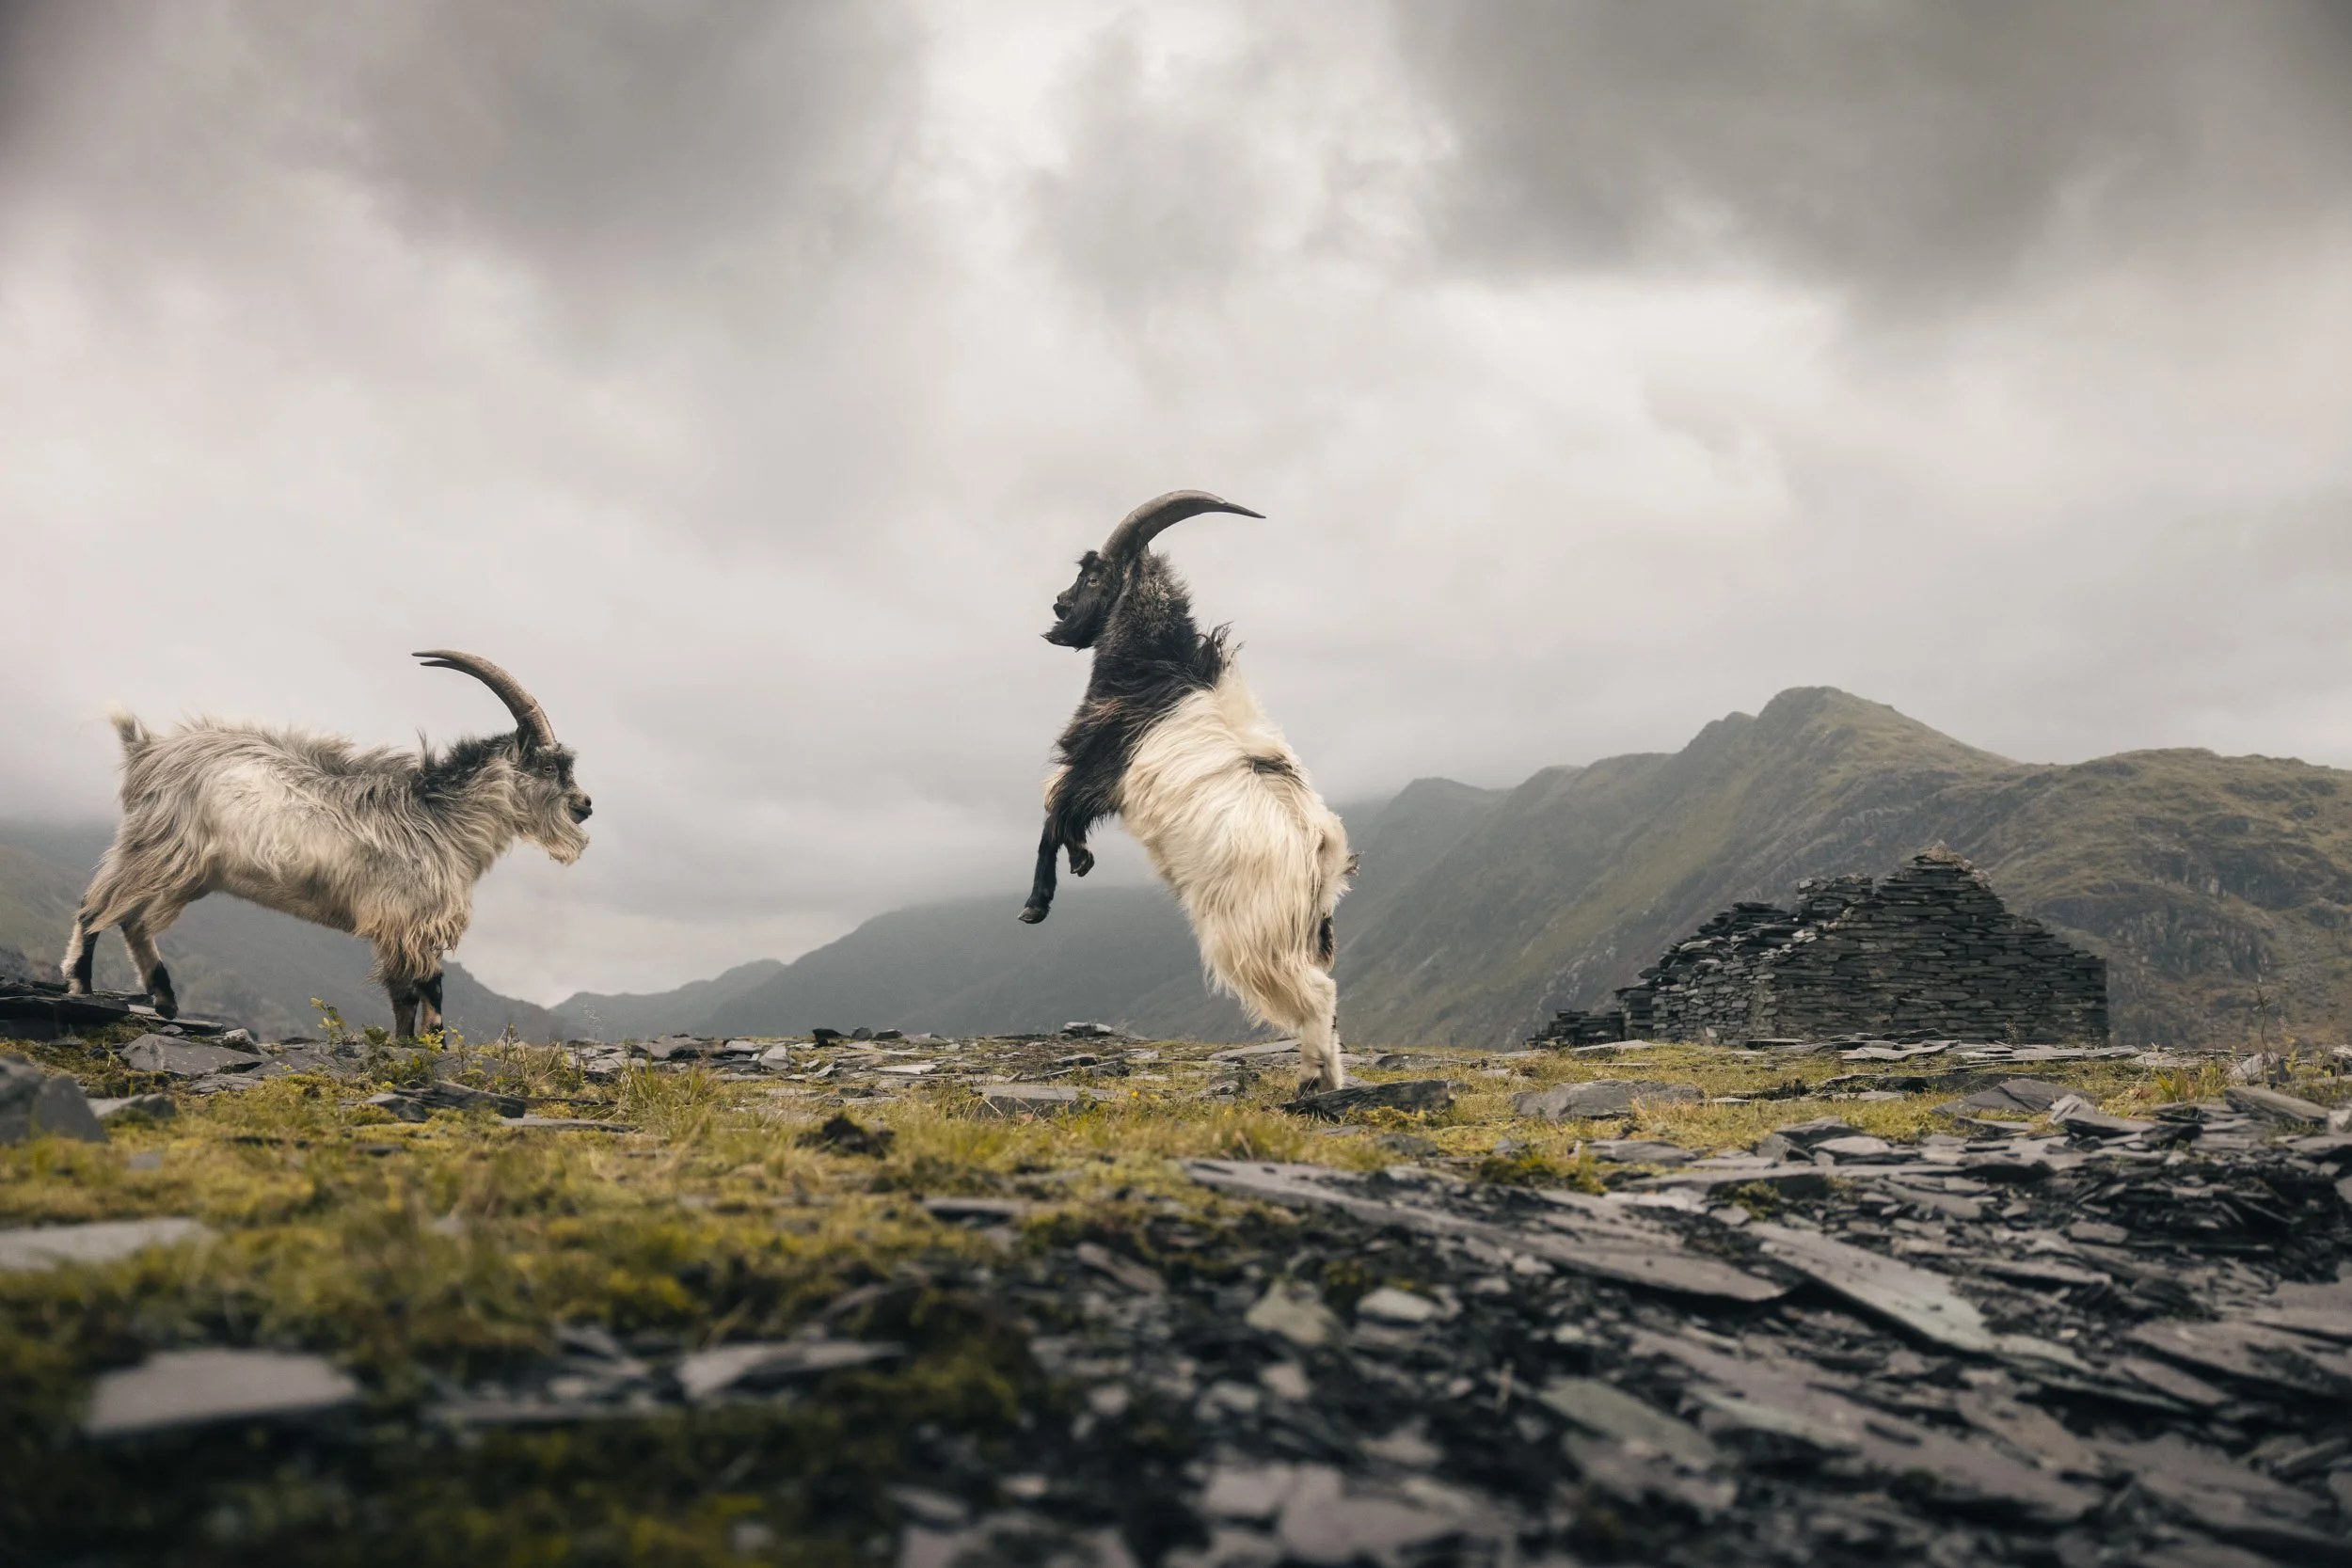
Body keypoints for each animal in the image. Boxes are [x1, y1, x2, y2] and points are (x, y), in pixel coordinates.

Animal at [63, 652, 591, 1039]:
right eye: (549, 766)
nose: (585, 805)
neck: (441, 820)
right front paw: (427, 1050)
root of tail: (146, 750)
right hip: (159, 848)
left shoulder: (397, 925)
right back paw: (80, 984)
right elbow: (428, 990)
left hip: (184, 871)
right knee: (96, 904)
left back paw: (165, 1000)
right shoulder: (409, 918)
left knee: (131, 919)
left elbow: (405, 996)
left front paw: (405, 1047)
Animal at [1023, 491, 1354, 1091]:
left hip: (1253, 933)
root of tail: (1321, 852)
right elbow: (1061, 814)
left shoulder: (1095, 764)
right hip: (1303, 931)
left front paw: (1039, 902)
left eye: (1093, 574)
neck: (1154, 666)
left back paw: (1312, 1082)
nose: (1058, 608)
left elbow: (1053, 809)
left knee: (1315, 993)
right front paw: (1080, 862)